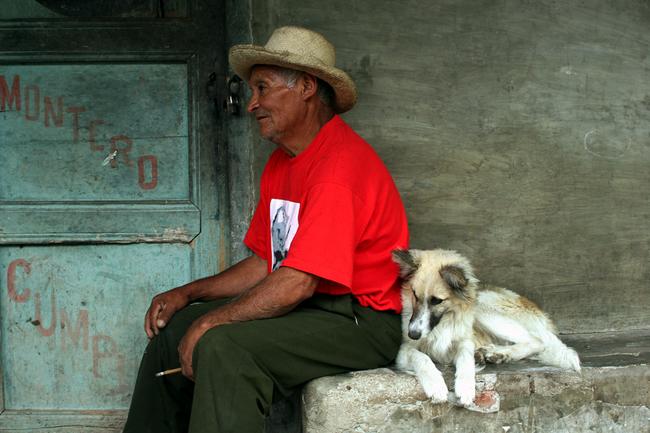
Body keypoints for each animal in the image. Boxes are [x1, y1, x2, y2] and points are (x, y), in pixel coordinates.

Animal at [390, 248, 576, 406]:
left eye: (437, 301)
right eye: (415, 295)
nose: (413, 333)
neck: (444, 320)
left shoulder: (464, 339)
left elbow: (465, 359)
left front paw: (466, 387)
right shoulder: (404, 349)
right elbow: (421, 357)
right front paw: (436, 385)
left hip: (482, 307)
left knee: (536, 341)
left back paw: (495, 353)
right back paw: (494, 353)